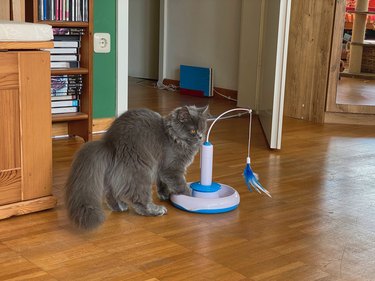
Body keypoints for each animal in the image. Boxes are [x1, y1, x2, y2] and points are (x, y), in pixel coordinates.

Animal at [65, 105, 210, 230]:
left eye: (203, 128)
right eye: (193, 130)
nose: (200, 136)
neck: (172, 136)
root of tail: (109, 143)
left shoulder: (160, 168)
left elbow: (162, 183)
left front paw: (164, 194)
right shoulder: (171, 168)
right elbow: (180, 185)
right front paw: (190, 198)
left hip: (115, 174)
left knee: (111, 193)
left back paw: (120, 206)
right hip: (141, 170)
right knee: (139, 199)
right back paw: (156, 210)